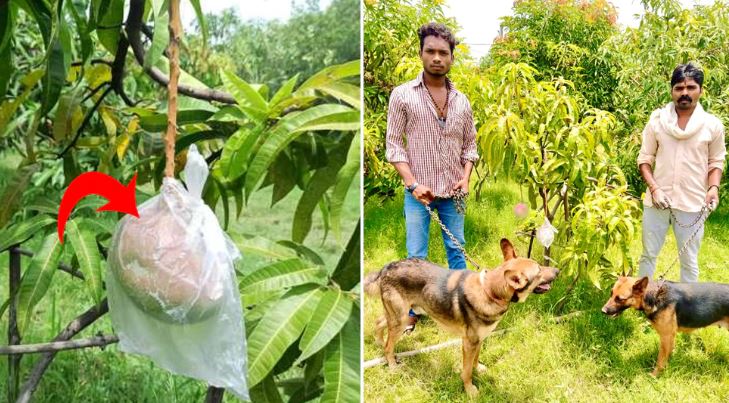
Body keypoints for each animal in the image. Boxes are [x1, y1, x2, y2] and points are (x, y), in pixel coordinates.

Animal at [364, 238, 556, 396]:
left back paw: (379, 341)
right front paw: (469, 389)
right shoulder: (469, 343)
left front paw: (478, 368)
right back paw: (392, 365)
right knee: (389, 346)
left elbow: (475, 360)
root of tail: (387, 267)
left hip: (399, 316)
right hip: (401, 319)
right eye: (539, 270)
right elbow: (467, 371)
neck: (490, 291)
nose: (558, 270)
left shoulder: (478, 340)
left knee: (379, 323)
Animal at [600, 276, 728, 378]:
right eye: (611, 294)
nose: (603, 311)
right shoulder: (670, 337)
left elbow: (660, 361)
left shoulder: (666, 336)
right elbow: (667, 355)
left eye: (620, 299)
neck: (655, 295)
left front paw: (654, 376)